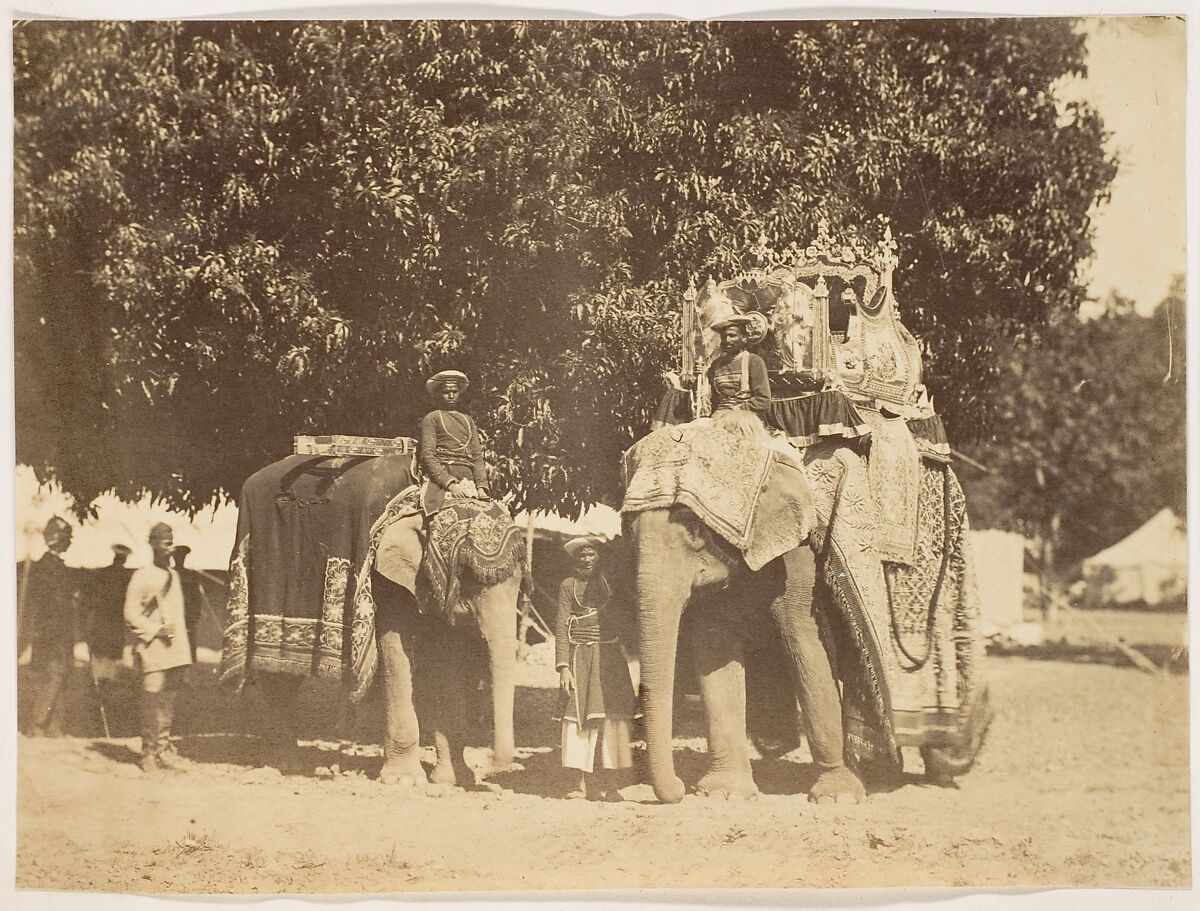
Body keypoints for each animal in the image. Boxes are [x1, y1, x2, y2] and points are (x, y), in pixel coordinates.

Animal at [223, 451, 523, 792]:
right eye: (471, 576)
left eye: (521, 579)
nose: (494, 766)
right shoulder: (385, 579)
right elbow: (396, 653)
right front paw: (405, 781)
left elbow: (445, 663)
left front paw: (453, 780)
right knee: (277, 675)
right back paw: (287, 764)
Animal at [624, 420, 988, 806]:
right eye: (629, 534)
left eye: (694, 532)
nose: (679, 789)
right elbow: (714, 651)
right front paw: (724, 794)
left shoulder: (803, 554)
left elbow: (805, 645)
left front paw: (837, 798)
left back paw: (944, 763)